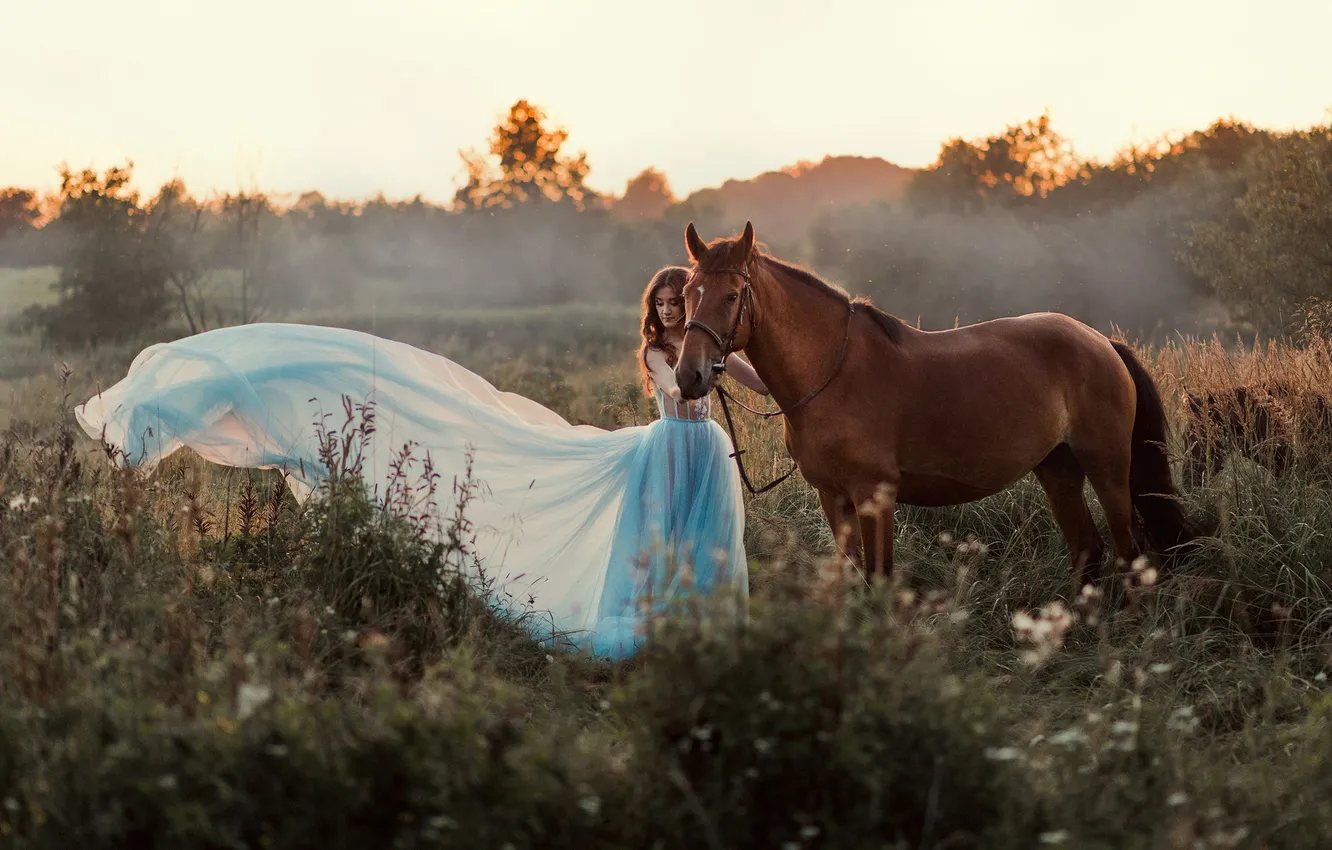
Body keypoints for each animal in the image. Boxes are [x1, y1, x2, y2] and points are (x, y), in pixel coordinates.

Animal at [673, 220, 1206, 586]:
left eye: (732, 295)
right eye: (687, 294)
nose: (689, 375)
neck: (831, 372)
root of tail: (1101, 343)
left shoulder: (875, 496)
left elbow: (880, 579)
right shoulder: (834, 498)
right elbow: (849, 575)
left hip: (1108, 467)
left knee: (1128, 550)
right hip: (1058, 469)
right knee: (1087, 549)